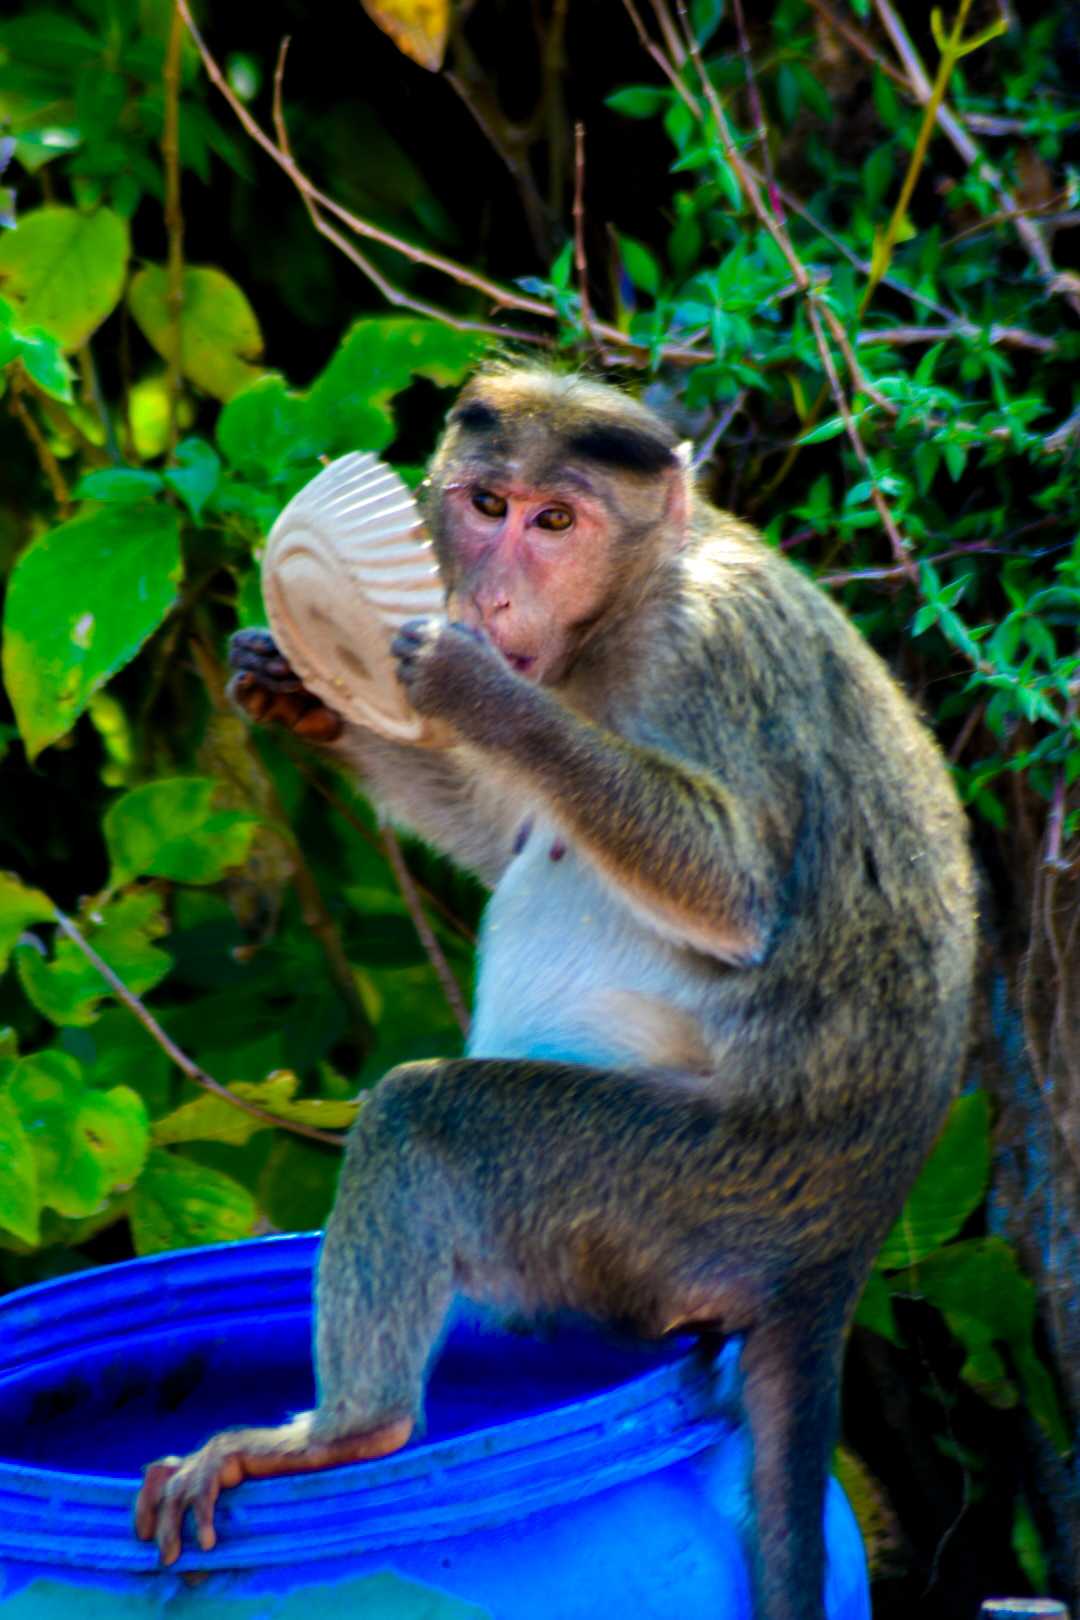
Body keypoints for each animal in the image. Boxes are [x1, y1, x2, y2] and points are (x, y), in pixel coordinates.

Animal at [135, 364, 976, 1620]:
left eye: (556, 522)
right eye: (488, 505)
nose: (492, 592)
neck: (633, 601)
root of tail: (836, 1252)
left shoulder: (709, 652)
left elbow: (731, 894)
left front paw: (468, 686)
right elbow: (505, 833)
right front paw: (292, 688)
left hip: (679, 1198)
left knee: (427, 1115)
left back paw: (349, 1433)